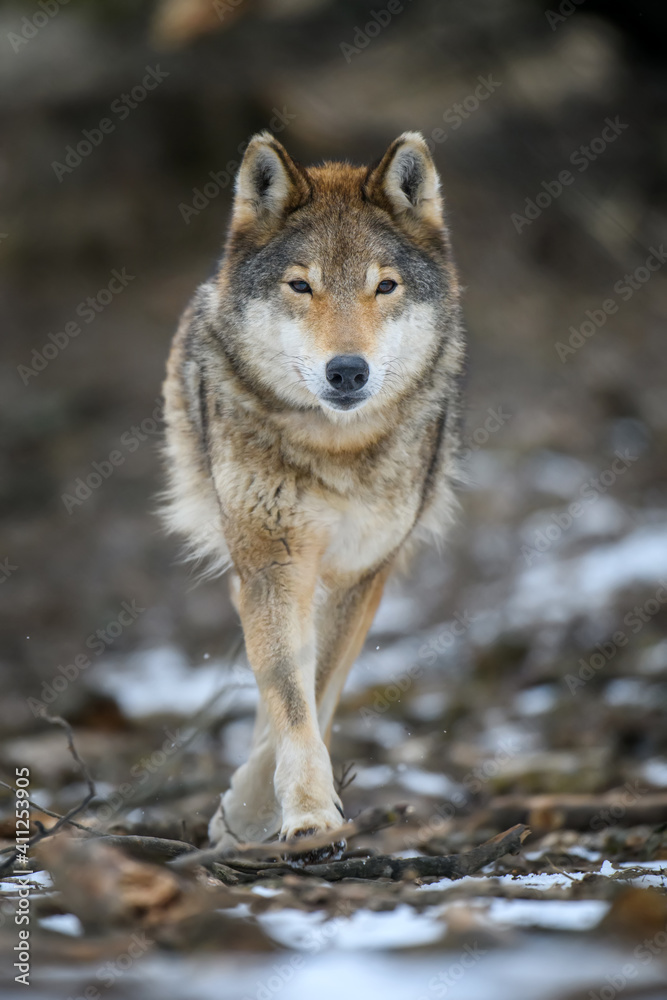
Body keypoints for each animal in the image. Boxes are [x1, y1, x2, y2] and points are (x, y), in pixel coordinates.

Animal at [162, 129, 464, 856]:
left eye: (384, 286)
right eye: (301, 285)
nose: (347, 371)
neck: (336, 451)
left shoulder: (363, 572)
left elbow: (317, 688)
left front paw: (253, 813)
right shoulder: (272, 564)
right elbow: (289, 694)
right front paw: (292, 815)